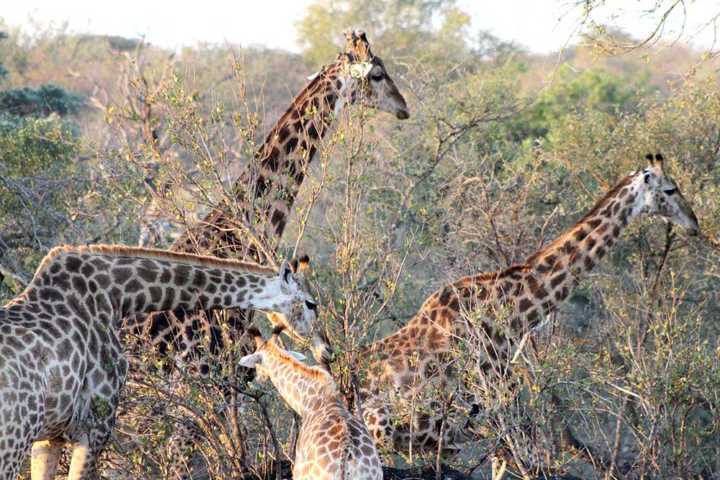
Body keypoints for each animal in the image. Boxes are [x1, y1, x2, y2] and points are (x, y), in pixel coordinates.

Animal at [0, 246, 316, 480]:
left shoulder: (50, 436)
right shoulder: (94, 426)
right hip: (12, 442)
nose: (318, 340)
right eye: (311, 303)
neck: (118, 297)